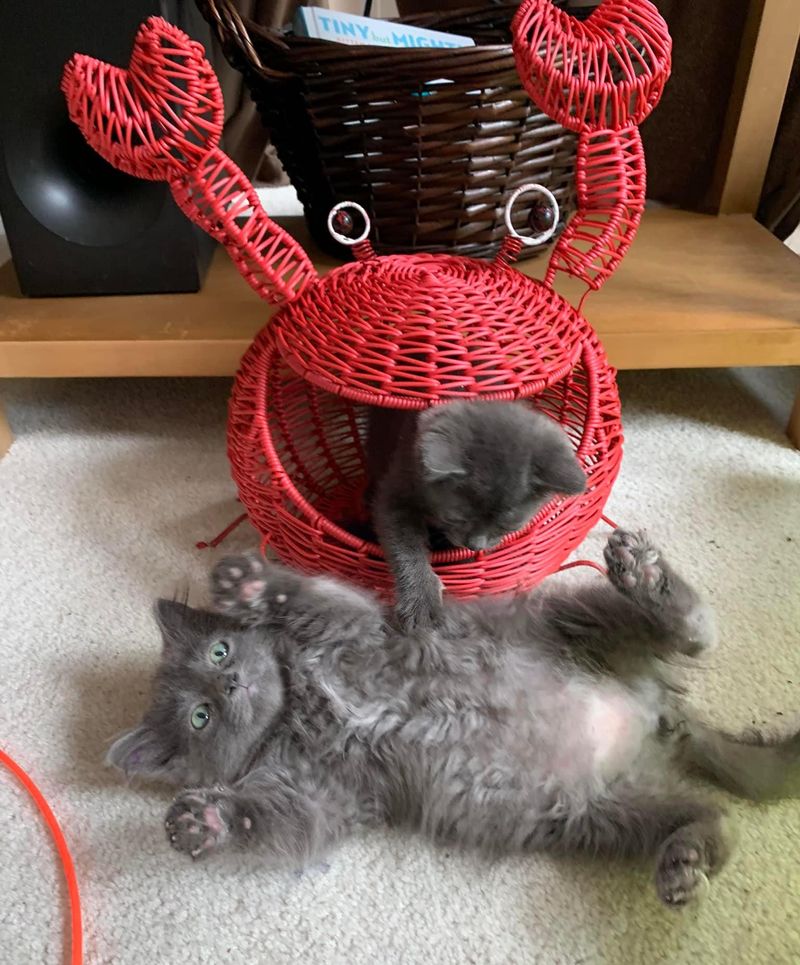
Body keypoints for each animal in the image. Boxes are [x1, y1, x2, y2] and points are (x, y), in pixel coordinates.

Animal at [109, 532, 796, 908]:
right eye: (200, 717)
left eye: (219, 652)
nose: (230, 684)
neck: (302, 704)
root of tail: (658, 717)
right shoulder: (320, 790)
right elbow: (278, 819)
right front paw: (204, 822)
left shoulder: (355, 627)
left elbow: (306, 598)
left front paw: (247, 588)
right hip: (600, 814)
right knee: (714, 818)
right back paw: (683, 863)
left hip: (572, 618)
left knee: (696, 633)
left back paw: (647, 577)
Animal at [366, 396, 584, 628]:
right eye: (456, 518)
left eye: (508, 526)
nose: (475, 545)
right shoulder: (397, 488)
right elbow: (405, 544)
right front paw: (421, 602)